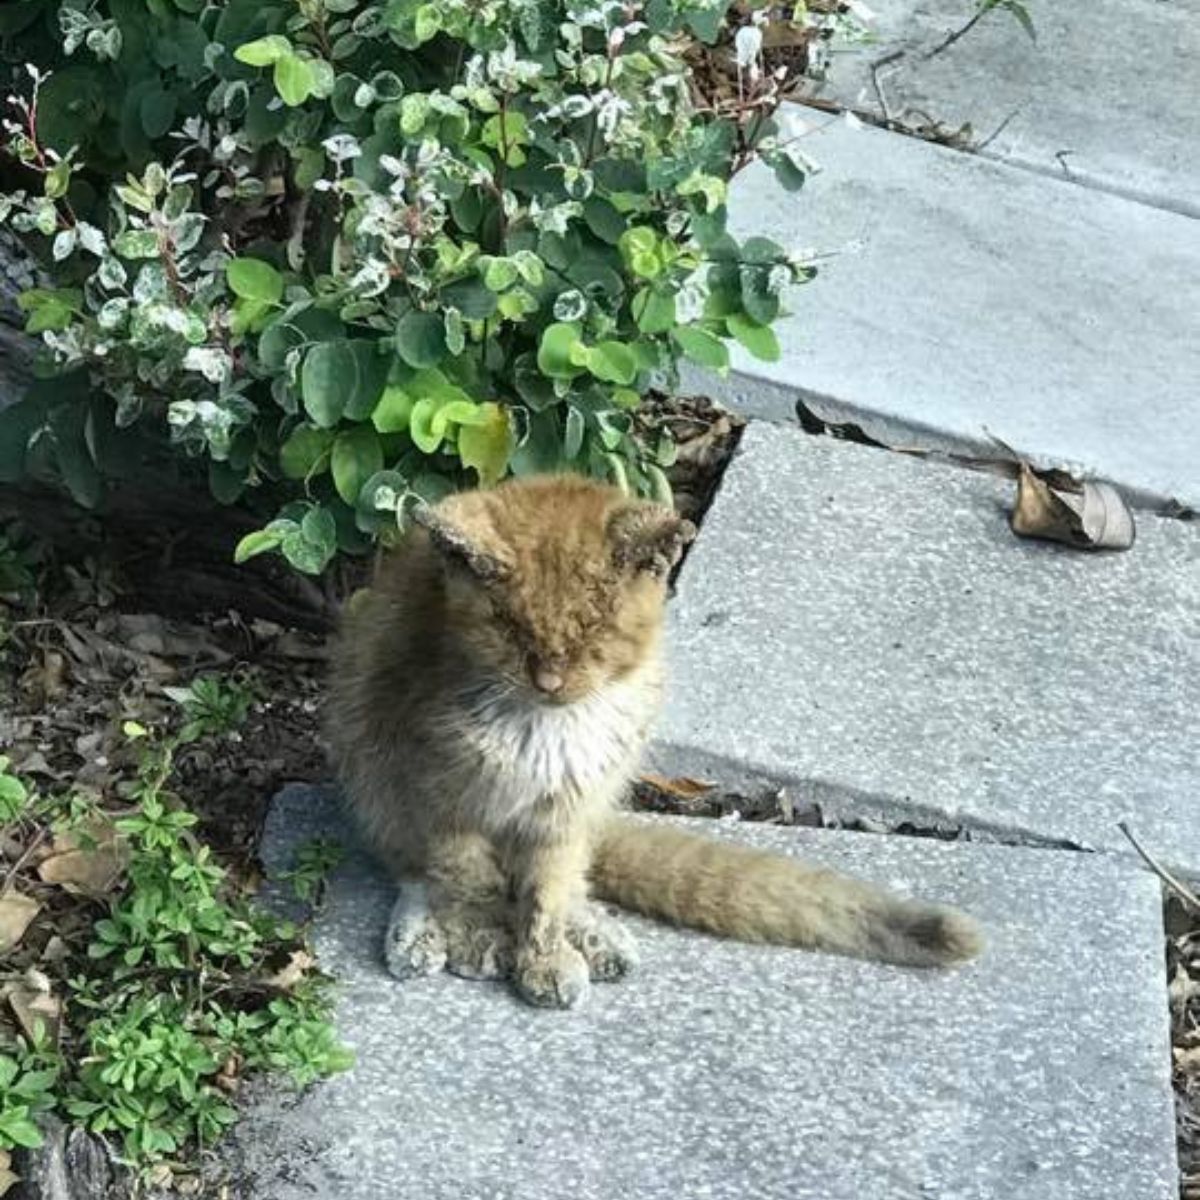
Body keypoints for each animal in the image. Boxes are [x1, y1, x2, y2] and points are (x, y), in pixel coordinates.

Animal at [324, 472, 979, 1008]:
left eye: (593, 628)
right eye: (509, 628)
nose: (550, 680)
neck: (545, 730)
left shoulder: (566, 808)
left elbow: (548, 890)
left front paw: (544, 955)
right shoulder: (435, 793)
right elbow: (467, 878)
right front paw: (483, 934)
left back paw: (592, 933)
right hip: (367, 766)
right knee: (410, 868)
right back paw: (425, 931)